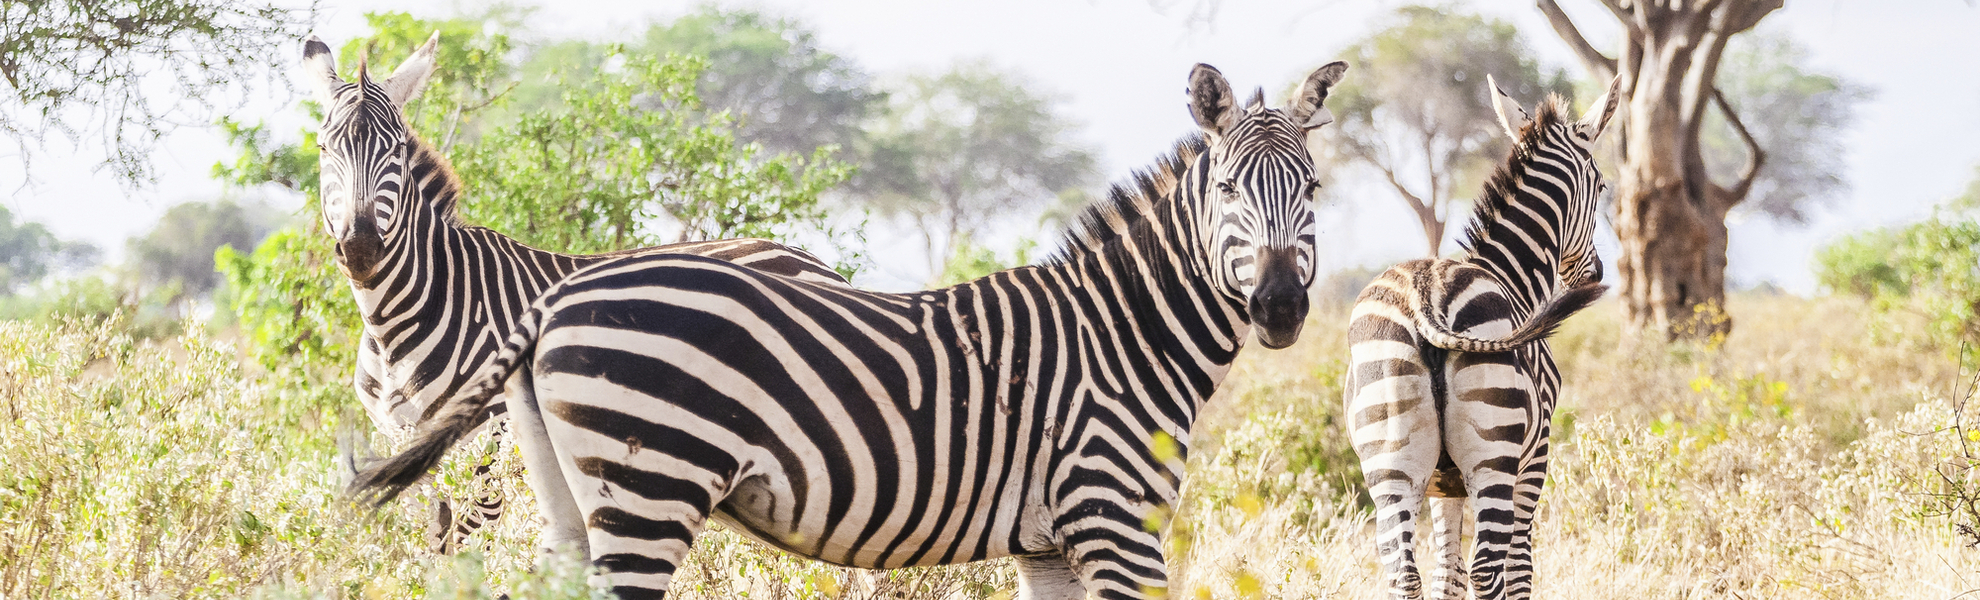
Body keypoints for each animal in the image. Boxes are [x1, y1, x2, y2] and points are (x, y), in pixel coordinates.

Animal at [299, 34, 848, 553]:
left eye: (394, 150)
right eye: (325, 150)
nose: (361, 246)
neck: (394, 327)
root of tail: (815, 263)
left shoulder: (492, 446)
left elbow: (466, 552)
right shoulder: (406, 448)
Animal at [348, 60, 1351, 599]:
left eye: (1313, 189)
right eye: (1229, 189)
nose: (1280, 308)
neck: (1125, 334)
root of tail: (554, 298)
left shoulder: (1050, 542)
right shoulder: (1114, 522)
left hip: (568, 489)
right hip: (650, 480)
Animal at [1343, 75, 1620, 600]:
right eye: (1601, 187)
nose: (1594, 272)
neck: (1511, 276)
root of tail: (1425, 295)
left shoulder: (1441, 485)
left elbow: (1446, 576)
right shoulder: (1534, 461)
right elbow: (1519, 570)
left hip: (1388, 464)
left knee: (1403, 573)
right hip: (1493, 460)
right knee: (1489, 571)